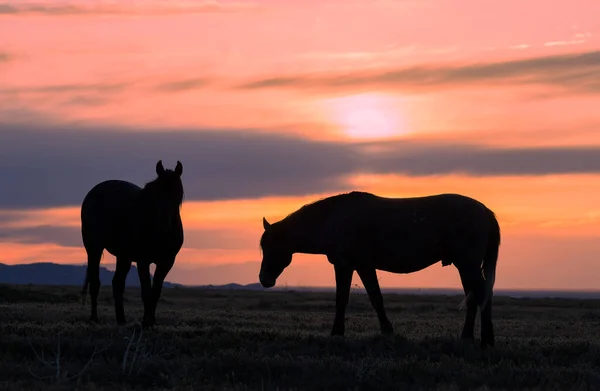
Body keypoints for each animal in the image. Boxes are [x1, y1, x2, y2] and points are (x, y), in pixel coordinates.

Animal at [80, 161, 183, 330]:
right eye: (157, 194)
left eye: (176, 192)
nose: (162, 222)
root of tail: (93, 192)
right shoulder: (143, 261)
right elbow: (146, 293)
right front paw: (146, 323)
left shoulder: (166, 262)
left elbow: (155, 293)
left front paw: (150, 322)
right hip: (94, 248)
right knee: (95, 283)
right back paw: (94, 319)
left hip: (123, 256)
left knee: (117, 283)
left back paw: (121, 320)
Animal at [260, 191, 500, 348]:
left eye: (271, 246)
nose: (264, 279)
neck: (333, 218)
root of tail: (485, 211)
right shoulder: (364, 266)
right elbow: (376, 298)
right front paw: (387, 331)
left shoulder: (344, 264)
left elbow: (342, 298)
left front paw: (337, 333)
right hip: (465, 266)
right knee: (473, 297)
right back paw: (467, 337)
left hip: (468, 265)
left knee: (482, 294)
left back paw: (487, 339)